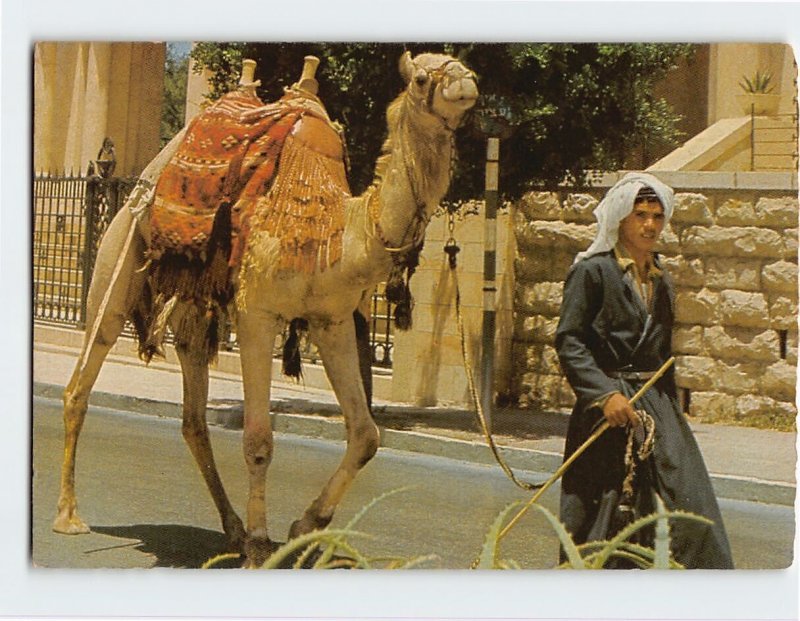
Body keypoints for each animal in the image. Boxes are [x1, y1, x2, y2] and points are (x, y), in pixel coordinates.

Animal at [53, 52, 478, 568]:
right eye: (421, 77)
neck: (339, 231)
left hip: (194, 308)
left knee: (193, 415)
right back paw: (70, 516)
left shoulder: (332, 321)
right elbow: (258, 440)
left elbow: (366, 436)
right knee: (82, 379)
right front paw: (261, 546)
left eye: (462, 64)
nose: (465, 83)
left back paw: (232, 529)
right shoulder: (258, 314)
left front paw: (303, 528)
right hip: (120, 257)